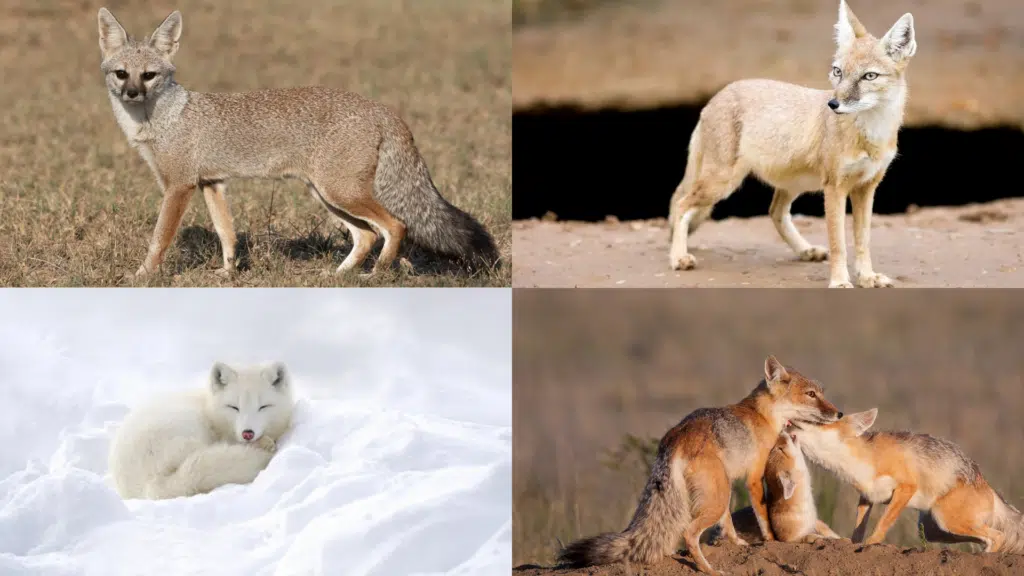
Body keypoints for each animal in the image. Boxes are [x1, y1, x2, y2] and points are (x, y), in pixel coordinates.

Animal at [96, 8, 498, 278]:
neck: (162, 119)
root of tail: (382, 109)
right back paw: (340, 276)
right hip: (326, 195)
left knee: (395, 226)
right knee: (367, 236)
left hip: (340, 193)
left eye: (149, 76)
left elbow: (159, 239)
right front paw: (228, 273)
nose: (131, 93)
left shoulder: (179, 187)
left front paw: (142, 275)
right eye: (122, 74)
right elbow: (227, 234)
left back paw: (375, 274)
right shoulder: (212, 183)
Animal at [557, 356, 843, 575]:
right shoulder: (754, 477)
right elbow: (764, 518)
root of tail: (675, 436)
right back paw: (708, 569)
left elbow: (728, 524)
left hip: (720, 491)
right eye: (811, 395)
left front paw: (738, 544)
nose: (839, 413)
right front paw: (771, 542)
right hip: (717, 497)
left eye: (821, 393)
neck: (763, 415)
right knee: (689, 534)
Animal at [667, 0, 917, 288]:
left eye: (869, 76)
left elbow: (863, 241)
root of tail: (718, 95)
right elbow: (839, 244)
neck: (870, 135)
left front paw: (866, 277)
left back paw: (805, 250)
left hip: (792, 184)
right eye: (838, 72)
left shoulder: (866, 187)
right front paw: (840, 281)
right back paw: (678, 257)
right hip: (722, 182)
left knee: (775, 212)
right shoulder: (835, 188)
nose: (833, 104)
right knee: (681, 204)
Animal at [790, 409, 1024, 553]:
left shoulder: (906, 488)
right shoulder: (867, 496)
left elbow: (884, 522)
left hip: (946, 519)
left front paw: (871, 543)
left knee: (998, 536)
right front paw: (852, 543)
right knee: (990, 537)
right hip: (938, 530)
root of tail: (987, 485)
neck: (865, 461)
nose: (790, 421)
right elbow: (858, 527)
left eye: (816, 421)